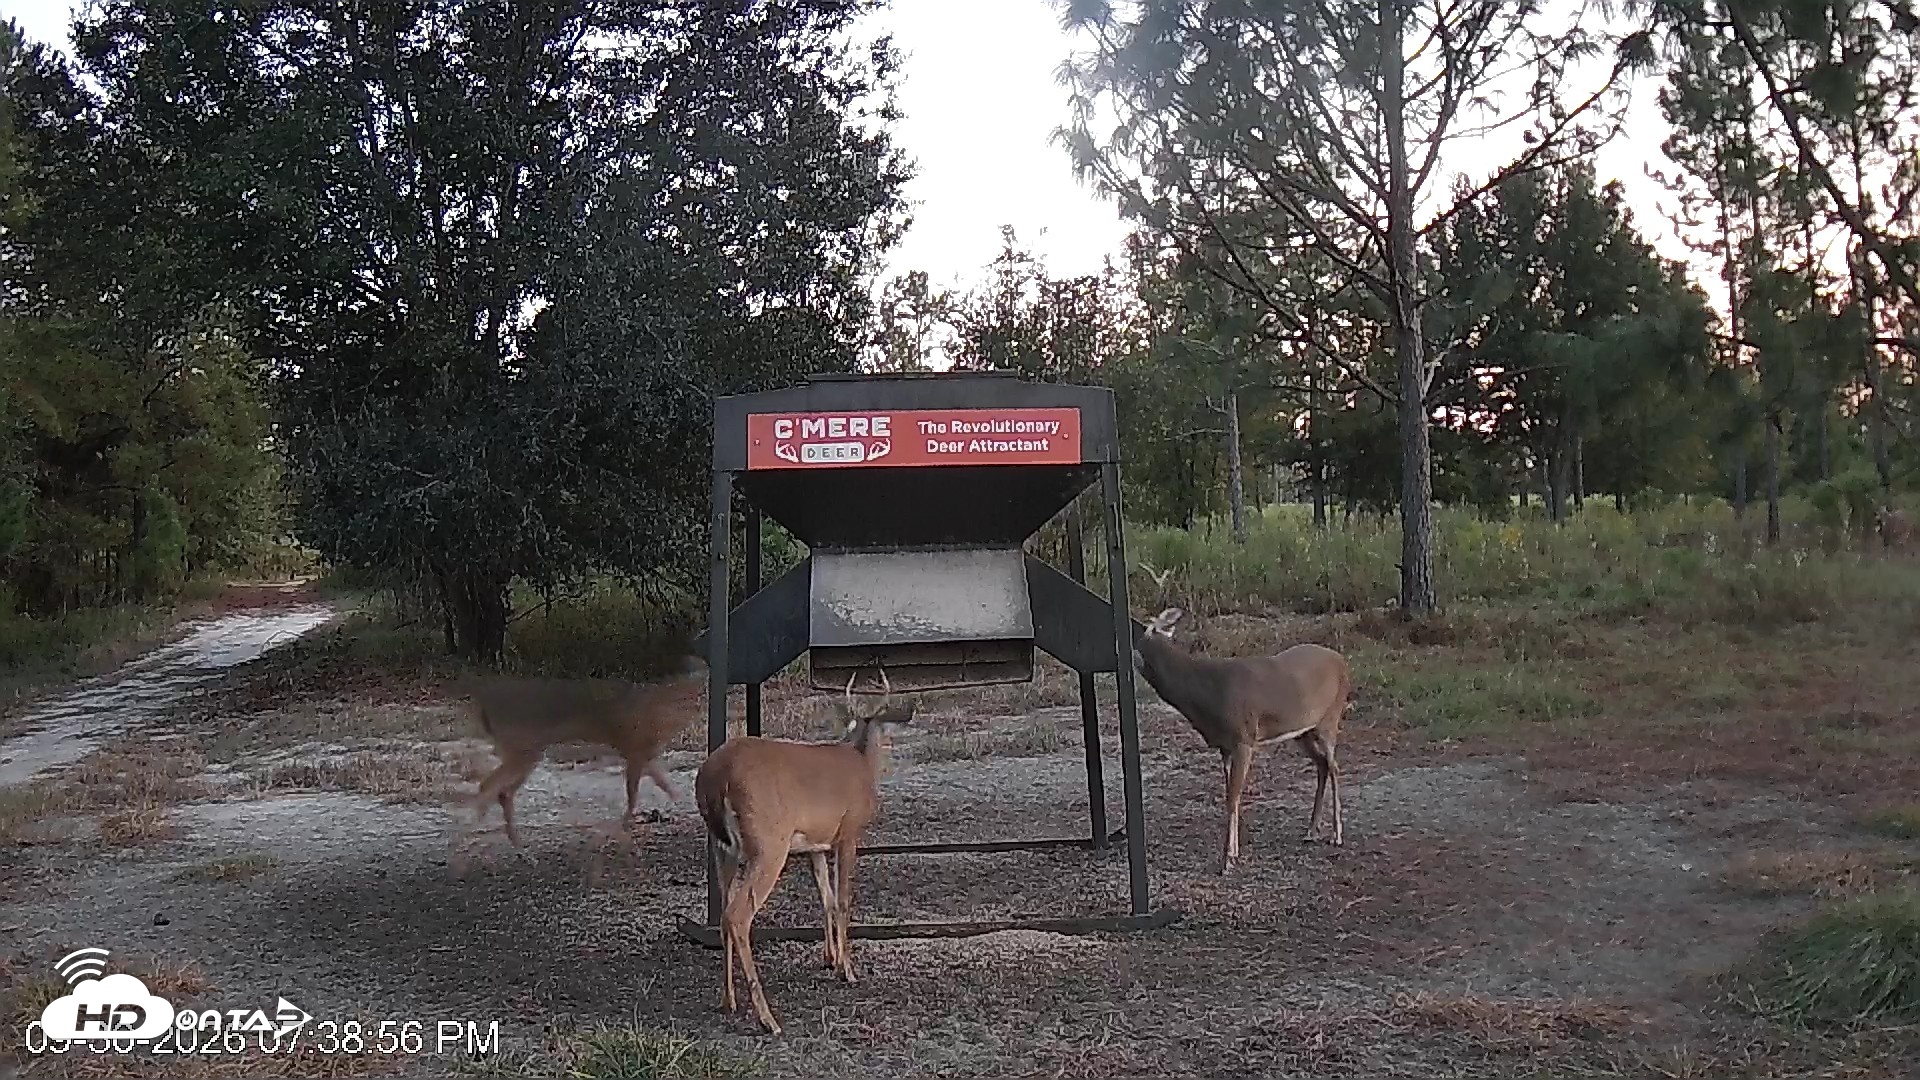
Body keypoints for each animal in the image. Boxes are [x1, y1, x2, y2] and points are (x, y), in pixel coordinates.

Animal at [457, 655, 706, 848]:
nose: (699, 706)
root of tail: (484, 705)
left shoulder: (644, 754)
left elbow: (661, 782)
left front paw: (678, 800)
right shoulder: (633, 751)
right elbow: (633, 795)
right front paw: (625, 824)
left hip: (527, 756)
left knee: (502, 792)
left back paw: (517, 845)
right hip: (525, 753)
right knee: (489, 786)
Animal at [693, 669, 915, 1036]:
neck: (861, 760)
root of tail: (716, 778)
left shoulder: (816, 844)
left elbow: (826, 898)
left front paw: (830, 959)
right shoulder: (848, 832)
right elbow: (843, 900)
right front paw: (848, 970)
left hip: (722, 848)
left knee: (724, 913)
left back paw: (728, 1001)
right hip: (769, 843)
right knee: (738, 916)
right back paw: (767, 1019)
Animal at [1133, 606, 1351, 872]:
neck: (1207, 693)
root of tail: (1342, 661)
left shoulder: (1243, 739)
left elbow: (1233, 797)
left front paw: (1227, 859)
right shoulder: (1225, 747)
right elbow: (1231, 796)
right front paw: (1234, 853)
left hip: (1330, 716)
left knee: (1334, 766)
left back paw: (1336, 835)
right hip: (1303, 730)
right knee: (1322, 765)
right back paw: (1311, 830)